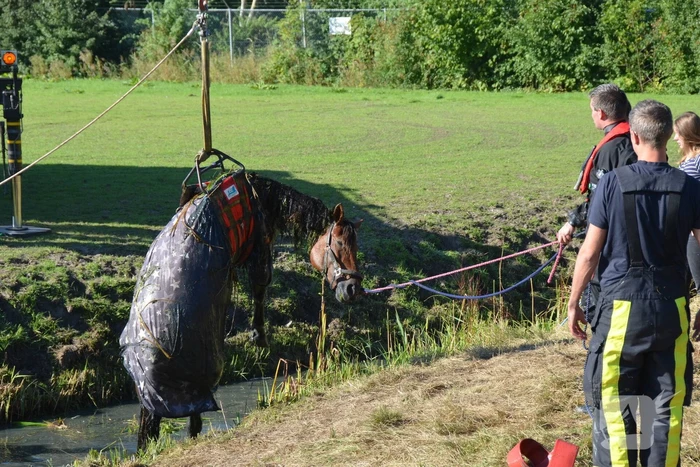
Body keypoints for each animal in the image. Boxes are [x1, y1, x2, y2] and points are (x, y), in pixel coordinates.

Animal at [119, 169, 362, 451]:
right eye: (340, 243)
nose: (353, 289)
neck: (256, 196)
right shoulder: (260, 246)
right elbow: (260, 286)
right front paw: (259, 335)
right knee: (190, 417)